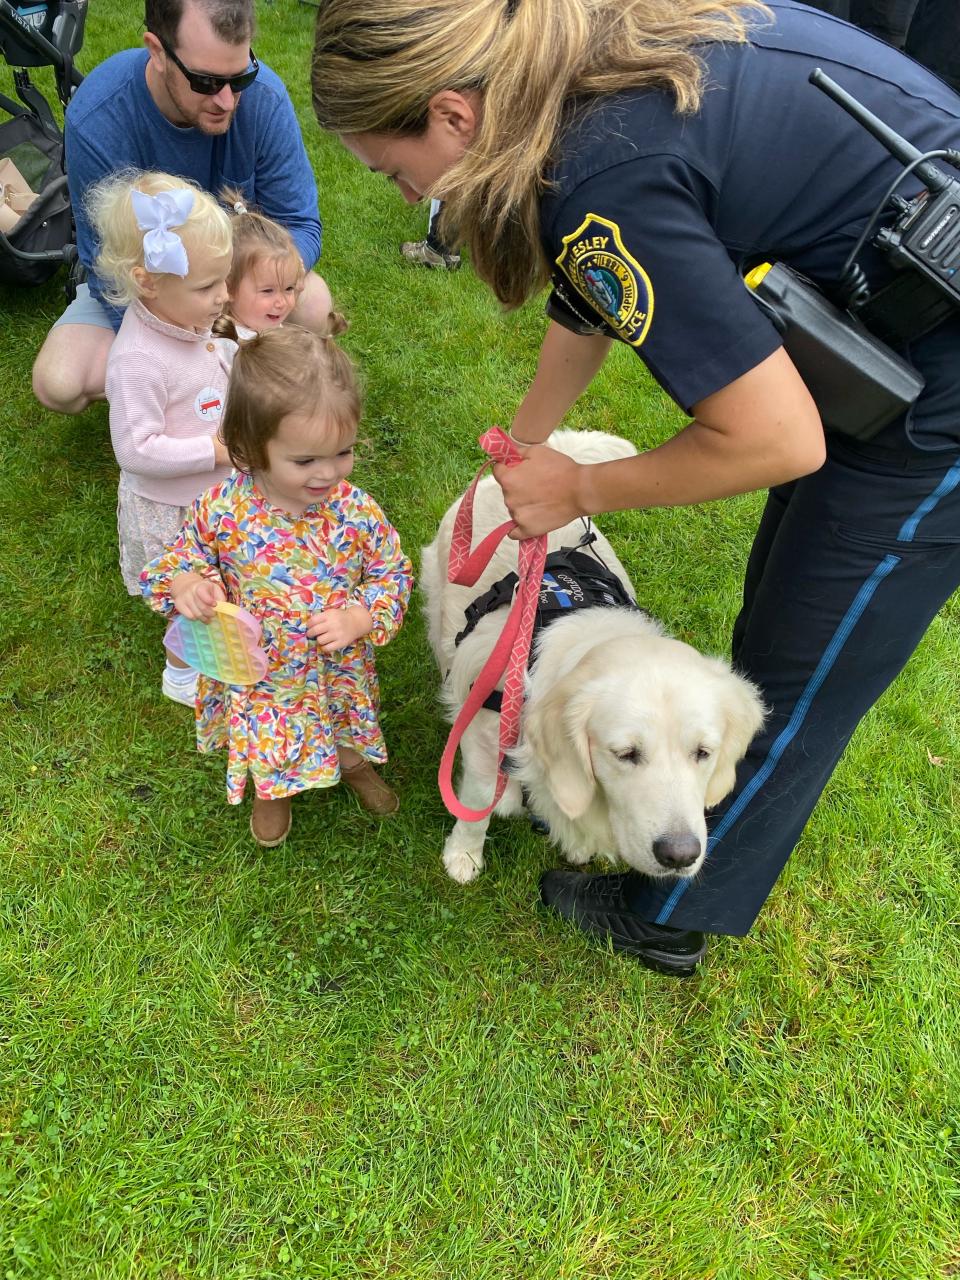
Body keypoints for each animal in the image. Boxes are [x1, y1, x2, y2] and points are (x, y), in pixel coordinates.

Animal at [419, 435, 768, 885]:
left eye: (704, 753)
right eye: (625, 754)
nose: (680, 855)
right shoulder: (482, 743)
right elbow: (478, 806)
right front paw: (463, 854)